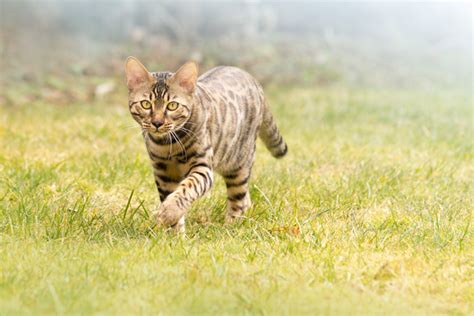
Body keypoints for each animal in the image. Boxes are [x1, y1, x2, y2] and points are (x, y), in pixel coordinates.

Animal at [124, 57, 286, 232]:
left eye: (172, 105)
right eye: (146, 104)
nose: (157, 123)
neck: (169, 144)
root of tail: (254, 81)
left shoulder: (202, 167)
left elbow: (187, 188)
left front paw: (169, 212)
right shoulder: (163, 172)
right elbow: (169, 195)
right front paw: (174, 232)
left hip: (239, 165)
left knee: (239, 199)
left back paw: (231, 226)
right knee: (246, 199)